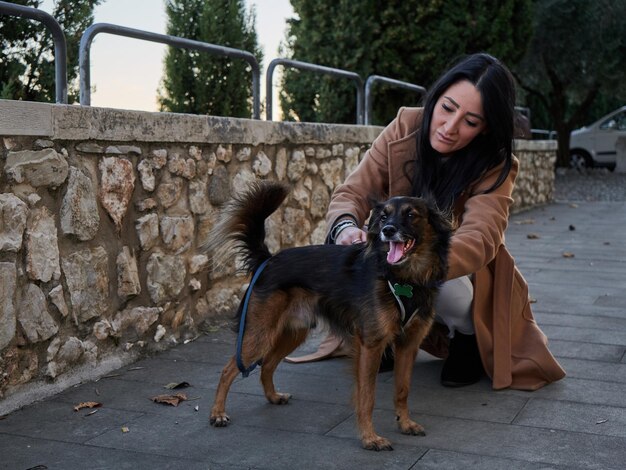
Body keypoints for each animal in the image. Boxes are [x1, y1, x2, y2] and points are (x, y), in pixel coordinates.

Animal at [202, 182, 450, 450]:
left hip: (292, 332)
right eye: (384, 217)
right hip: (260, 334)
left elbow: (402, 390)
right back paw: (217, 414)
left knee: (267, 364)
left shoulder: (408, 344)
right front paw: (370, 437)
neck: (404, 277)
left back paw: (273, 397)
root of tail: (268, 260)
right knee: (229, 369)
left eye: (411, 214)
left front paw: (405, 424)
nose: (388, 230)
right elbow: (367, 396)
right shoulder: (371, 345)